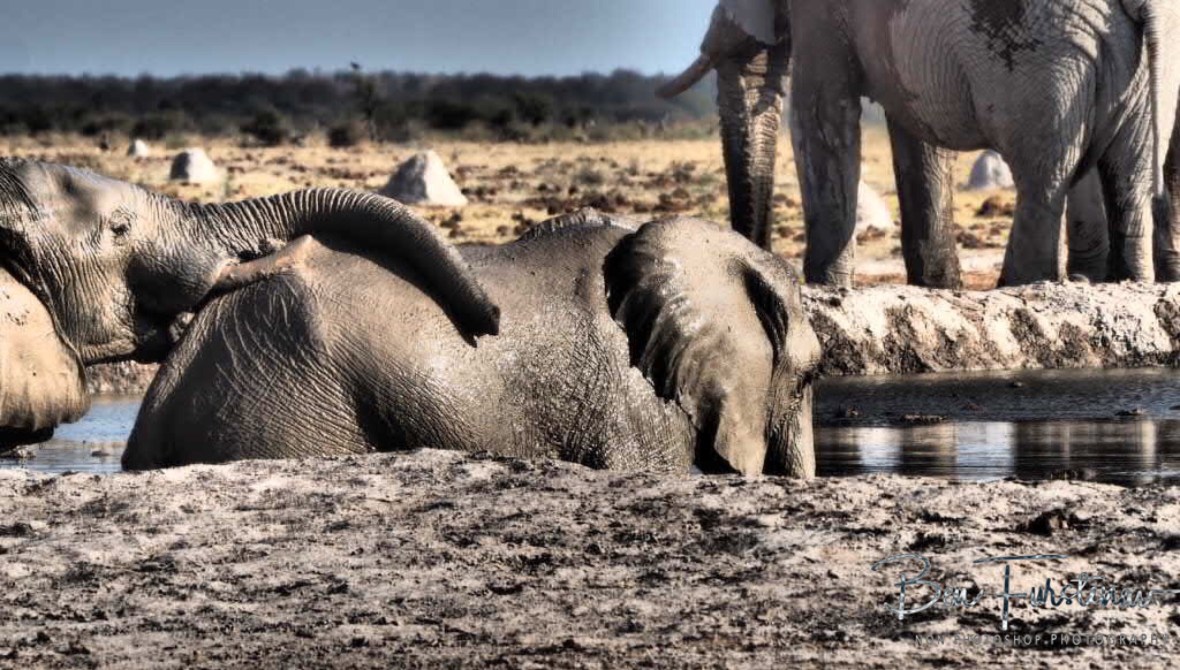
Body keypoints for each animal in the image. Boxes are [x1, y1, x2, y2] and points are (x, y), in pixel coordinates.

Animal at [661, 0, 1180, 287]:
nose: (752, 260)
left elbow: (819, 110)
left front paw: (825, 287)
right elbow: (914, 131)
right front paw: (937, 286)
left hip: (1045, 54)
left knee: (1043, 173)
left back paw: (1020, 285)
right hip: (1134, 55)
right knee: (1128, 171)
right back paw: (1127, 282)